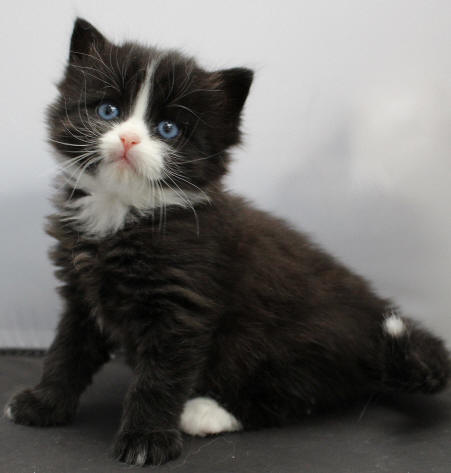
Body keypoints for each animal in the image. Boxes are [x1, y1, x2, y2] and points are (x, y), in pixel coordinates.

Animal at [4, 18, 450, 466]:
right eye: (108, 111)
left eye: (168, 129)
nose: (129, 140)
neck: (124, 212)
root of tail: (375, 321)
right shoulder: (81, 290)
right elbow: (66, 350)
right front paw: (43, 404)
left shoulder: (182, 303)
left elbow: (159, 377)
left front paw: (146, 438)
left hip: (299, 336)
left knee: (305, 390)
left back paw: (210, 411)